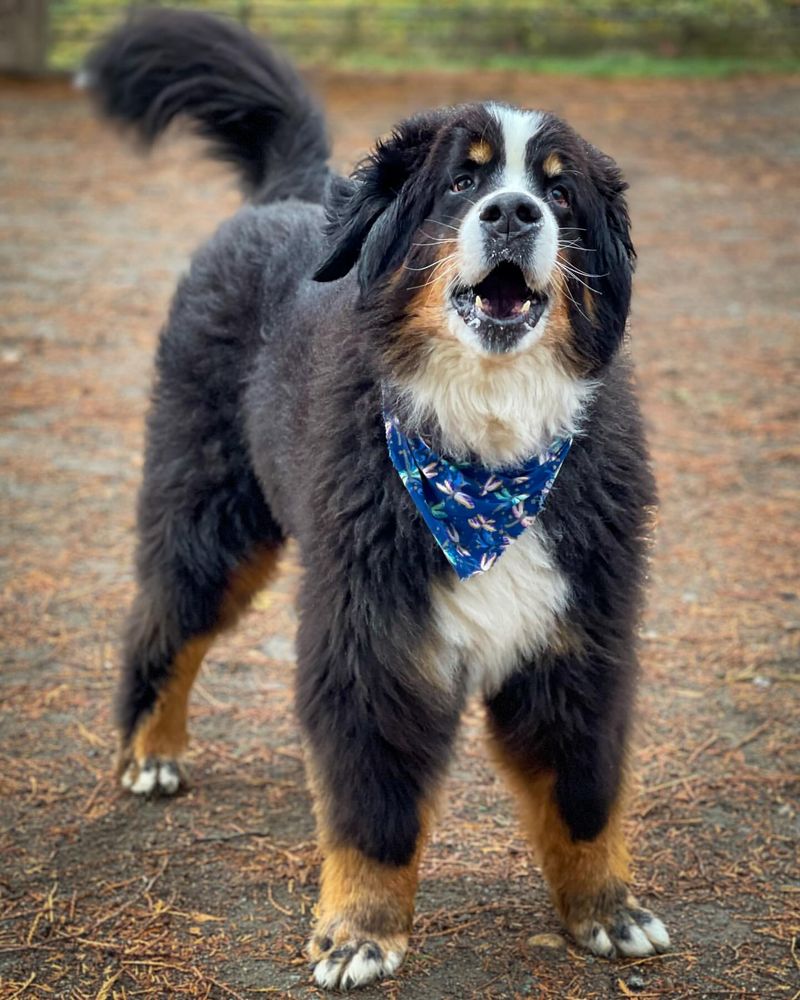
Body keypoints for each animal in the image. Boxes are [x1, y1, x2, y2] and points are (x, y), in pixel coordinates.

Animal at [83, 9, 668, 992]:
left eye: (559, 193)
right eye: (463, 180)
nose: (514, 213)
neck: (486, 444)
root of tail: (291, 194)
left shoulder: (578, 641)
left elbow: (583, 797)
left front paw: (607, 910)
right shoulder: (371, 643)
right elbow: (373, 814)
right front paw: (360, 932)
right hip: (213, 515)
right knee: (166, 621)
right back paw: (152, 751)